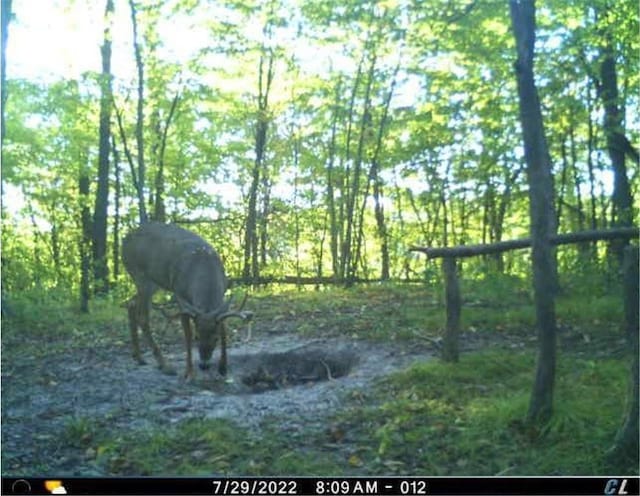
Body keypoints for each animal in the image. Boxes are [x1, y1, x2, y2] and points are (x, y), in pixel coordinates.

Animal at [121, 223, 251, 382]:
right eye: (197, 337)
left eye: (215, 338)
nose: (204, 365)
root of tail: (124, 241)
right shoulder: (181, 297)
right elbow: (187, 335)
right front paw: (189, 372)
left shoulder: (221, 298)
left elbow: (224, 328)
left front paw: (223, 368)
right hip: (140, 274)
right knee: (143, 317)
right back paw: (164, 365)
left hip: (153, 282)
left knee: (130, 303)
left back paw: (139, 357)